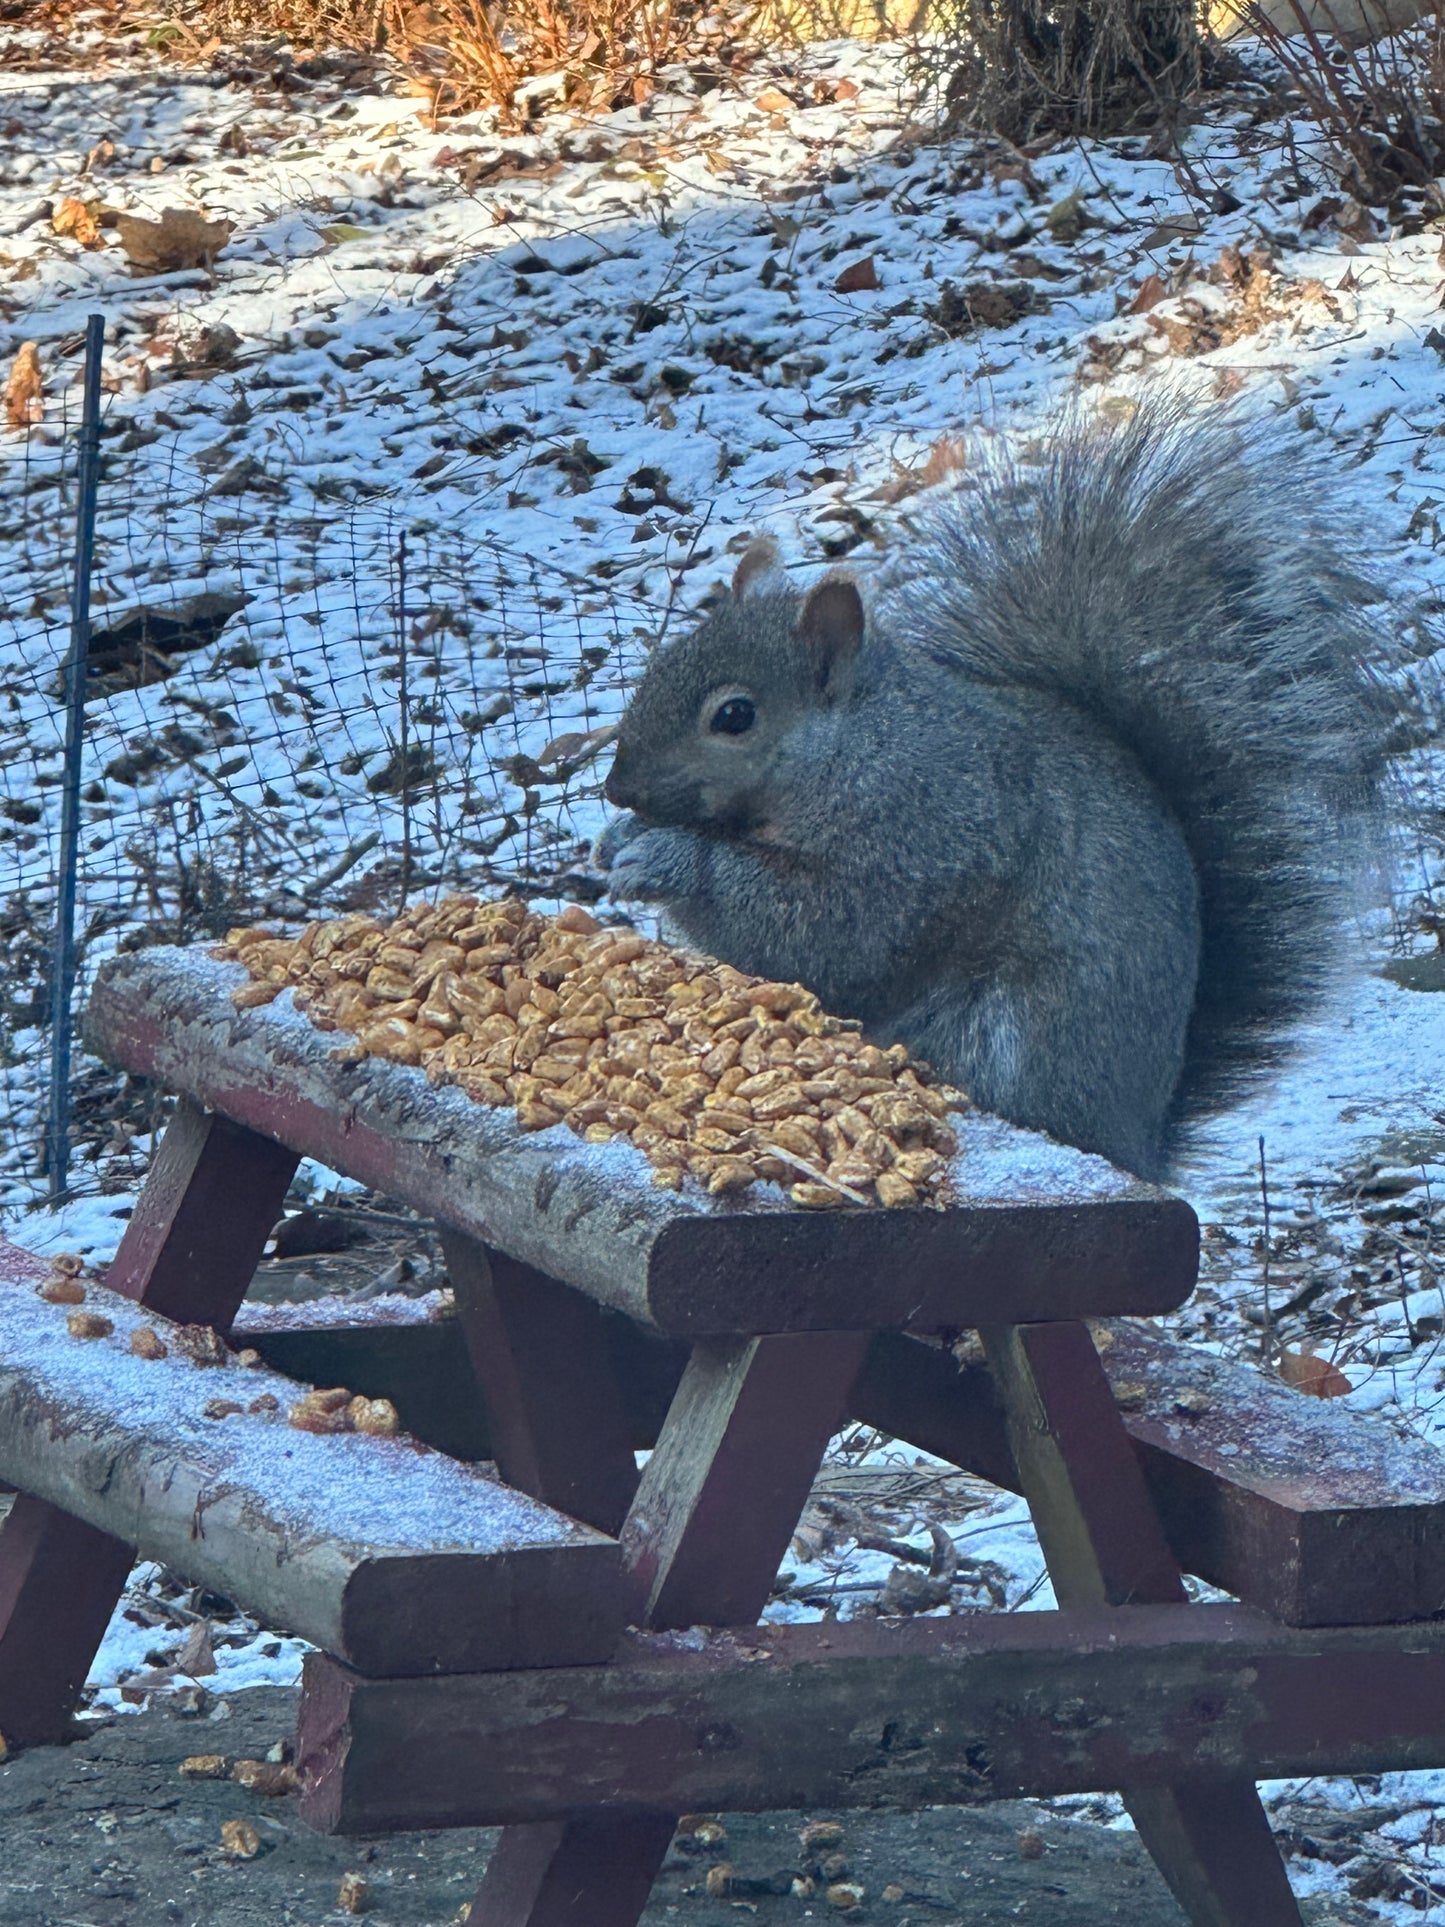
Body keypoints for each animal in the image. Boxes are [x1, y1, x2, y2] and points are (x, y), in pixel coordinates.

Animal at [593, 404, 1394, 1179]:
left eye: (735, 716)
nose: (618, 788)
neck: (859, 750)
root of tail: (1137, 1143)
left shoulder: (921, 837)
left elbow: (817, 934)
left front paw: (664, 858)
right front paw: (615, 842)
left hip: (1002, 1037)